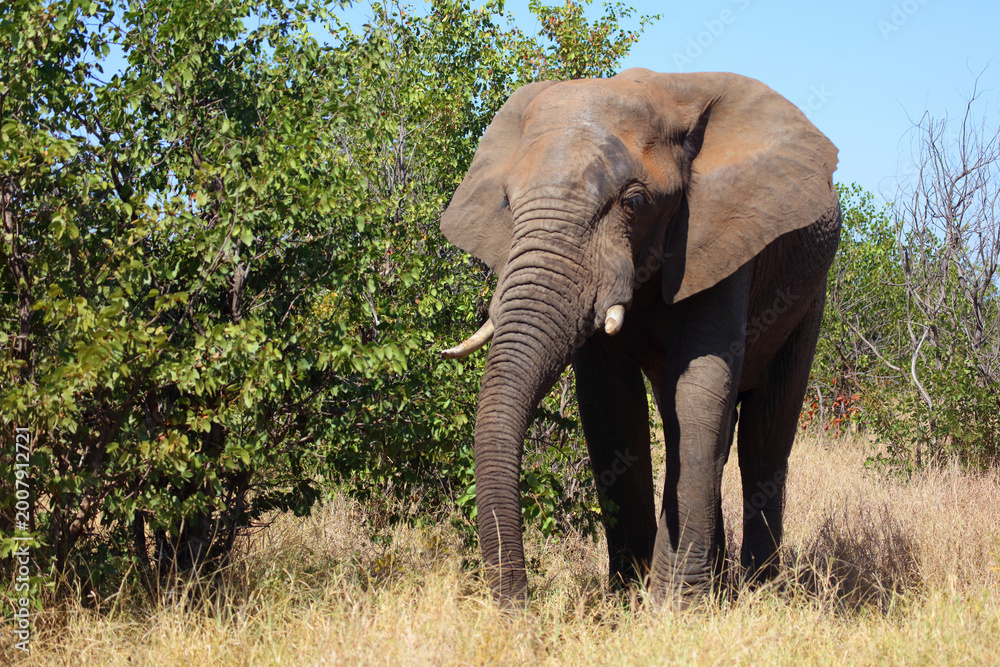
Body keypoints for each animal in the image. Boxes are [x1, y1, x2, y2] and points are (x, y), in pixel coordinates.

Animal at [439, 68, 841, 607]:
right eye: (506, 201)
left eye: (633, 202)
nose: (520, 606)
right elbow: (611, 405)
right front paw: (629, 599)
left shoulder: (722, 234)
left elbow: (699, 389)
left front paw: (676, 608)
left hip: (809, 294)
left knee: (764, 435)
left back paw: (761, 591)